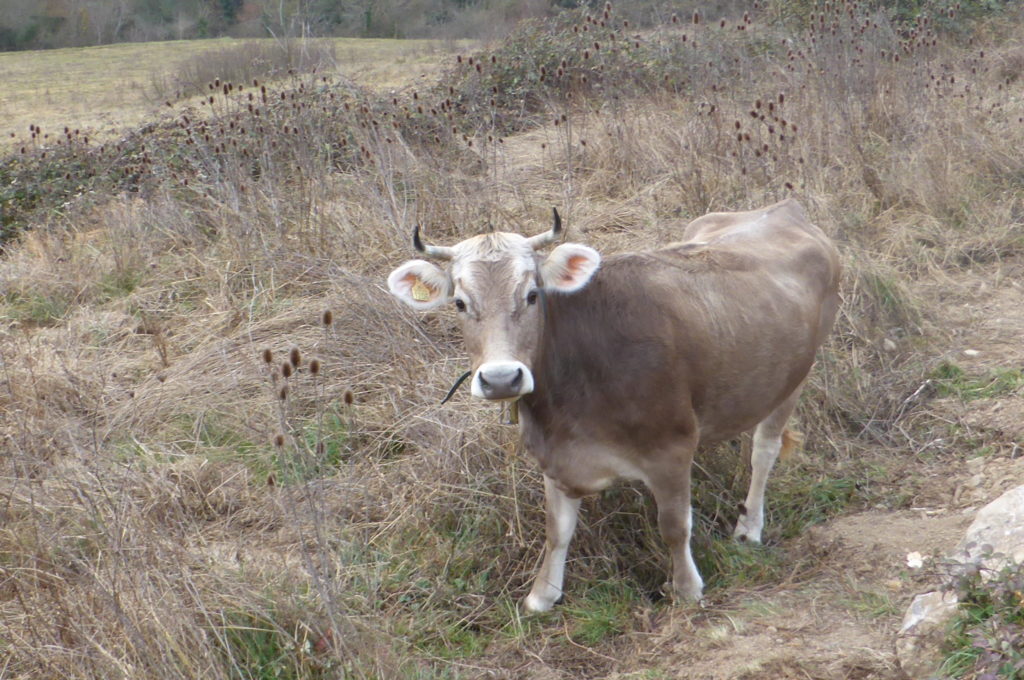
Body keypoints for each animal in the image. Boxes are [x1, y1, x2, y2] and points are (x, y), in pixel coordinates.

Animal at [385, 199, 839, 614]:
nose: (500, 378)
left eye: (532, 295)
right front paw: (542, 594)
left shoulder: (672, 447)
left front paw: (687, 588)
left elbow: (674, 526)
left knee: (764, 450)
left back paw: (749, 528)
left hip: (795, 375)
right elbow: (557, 530)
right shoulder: (555, 455)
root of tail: (783, 208)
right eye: (460, 303)